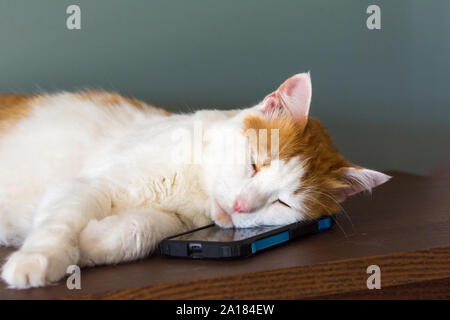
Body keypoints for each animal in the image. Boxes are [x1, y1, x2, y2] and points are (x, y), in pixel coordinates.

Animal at [0, 74, 390, 288]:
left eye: (284, 202)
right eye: (255, 164)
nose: (241, 205)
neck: (194, 188)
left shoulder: (173, 223)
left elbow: (138, 231)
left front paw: (90, 243)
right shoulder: (85, 185)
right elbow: (57, 226)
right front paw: (36, 260)